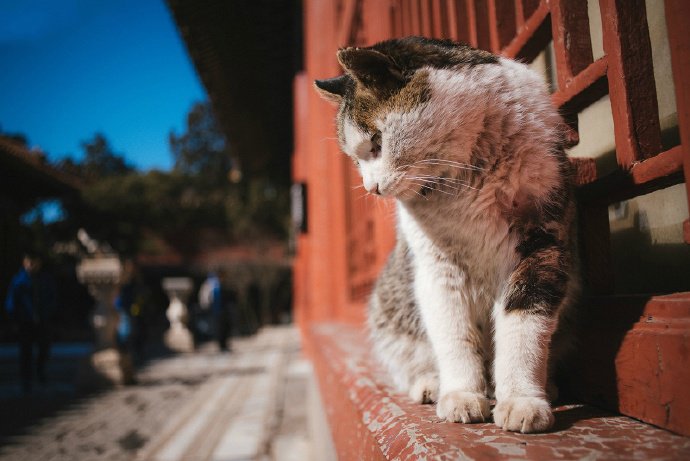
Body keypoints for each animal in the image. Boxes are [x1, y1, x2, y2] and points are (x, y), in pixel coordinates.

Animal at [314, 36, 576, 432]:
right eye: (356, 159)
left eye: (376, 141)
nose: (371, 187)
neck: (467, 178)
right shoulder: (436, 268)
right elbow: (453, 335)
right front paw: (462, 395)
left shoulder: (541, 243)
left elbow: (523, 326)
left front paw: (522, 400)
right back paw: (432, 385)